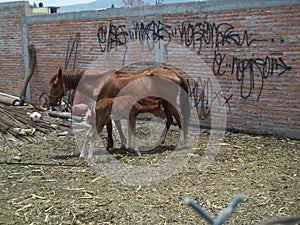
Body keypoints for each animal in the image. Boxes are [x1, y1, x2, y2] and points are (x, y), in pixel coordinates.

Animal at [49, 66, 190, 152]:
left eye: (55, 84)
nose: (50, 101)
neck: (100, 82)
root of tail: (175, 74)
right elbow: (117, 125)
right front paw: (123, 143)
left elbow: (110, 126)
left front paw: (110, 145)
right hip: (164, 104)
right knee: (170, 120)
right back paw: (162, 141)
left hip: (169, 103)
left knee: (179, 118)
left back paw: (180, 143)